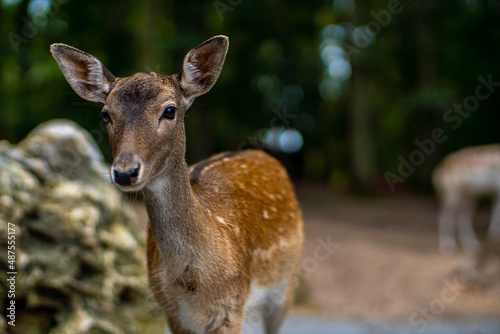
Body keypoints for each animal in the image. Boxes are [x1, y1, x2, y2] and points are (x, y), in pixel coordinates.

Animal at [50, 36, 302, 334]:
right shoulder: (172, 311)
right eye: (105, 115)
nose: (125, 172)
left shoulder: (232, 307)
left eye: (169, 110)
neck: (192, 283)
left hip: (286, 284)